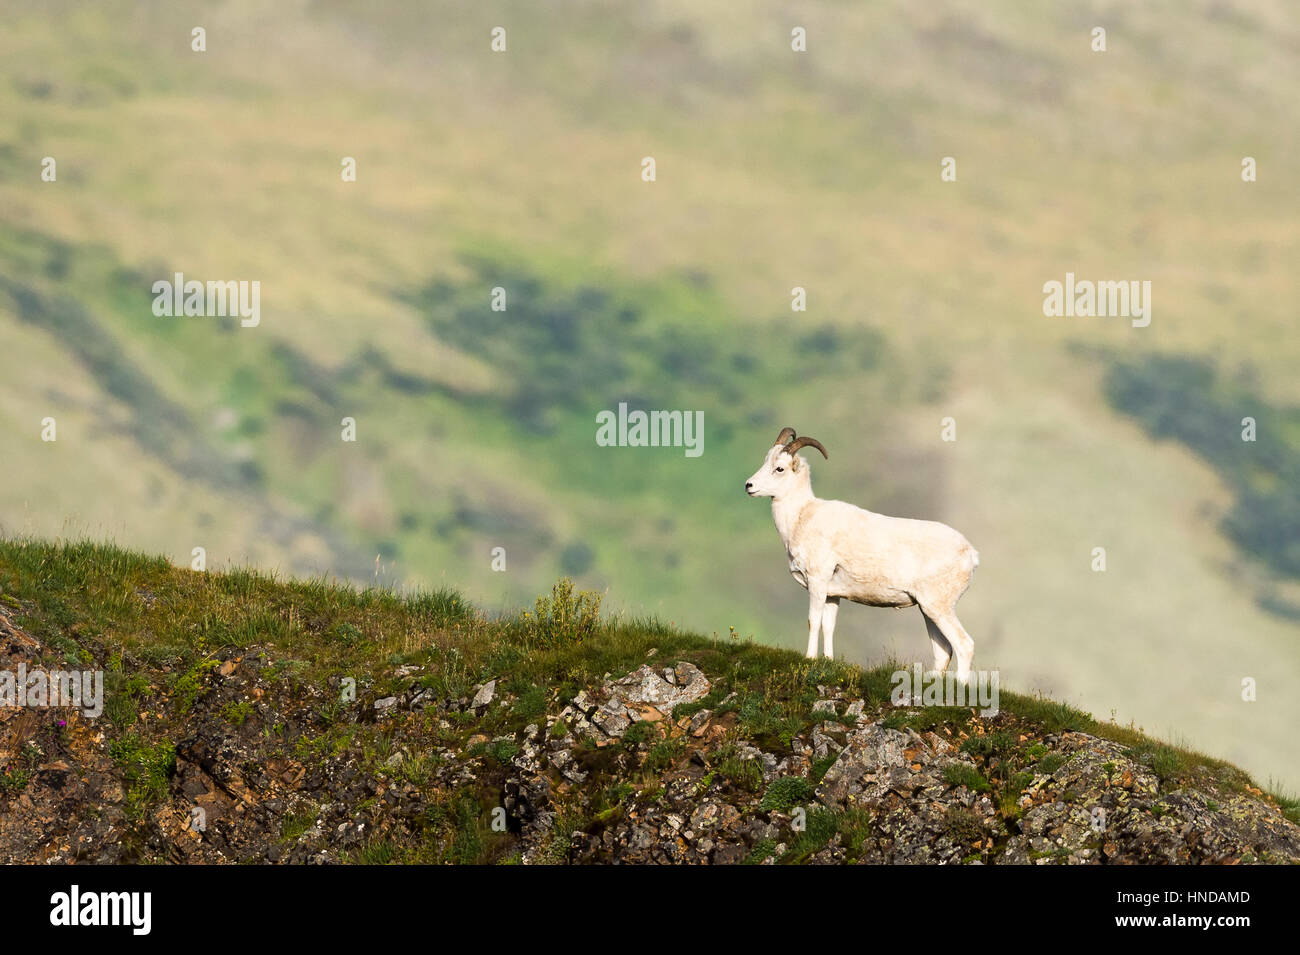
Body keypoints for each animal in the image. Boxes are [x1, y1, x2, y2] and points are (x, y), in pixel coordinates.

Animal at [748, 426, 977, 680]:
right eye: (765, 460)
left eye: (779, 468)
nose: (749, 486)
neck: (801, 517)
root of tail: (970, 553)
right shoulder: (832, 594)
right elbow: (829, 625)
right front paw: (828, 660)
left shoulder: (817, 582)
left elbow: (813, 621)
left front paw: (809, 659)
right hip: (927, 610)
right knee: (943, 650)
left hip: (939, 607)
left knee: (964, 644)